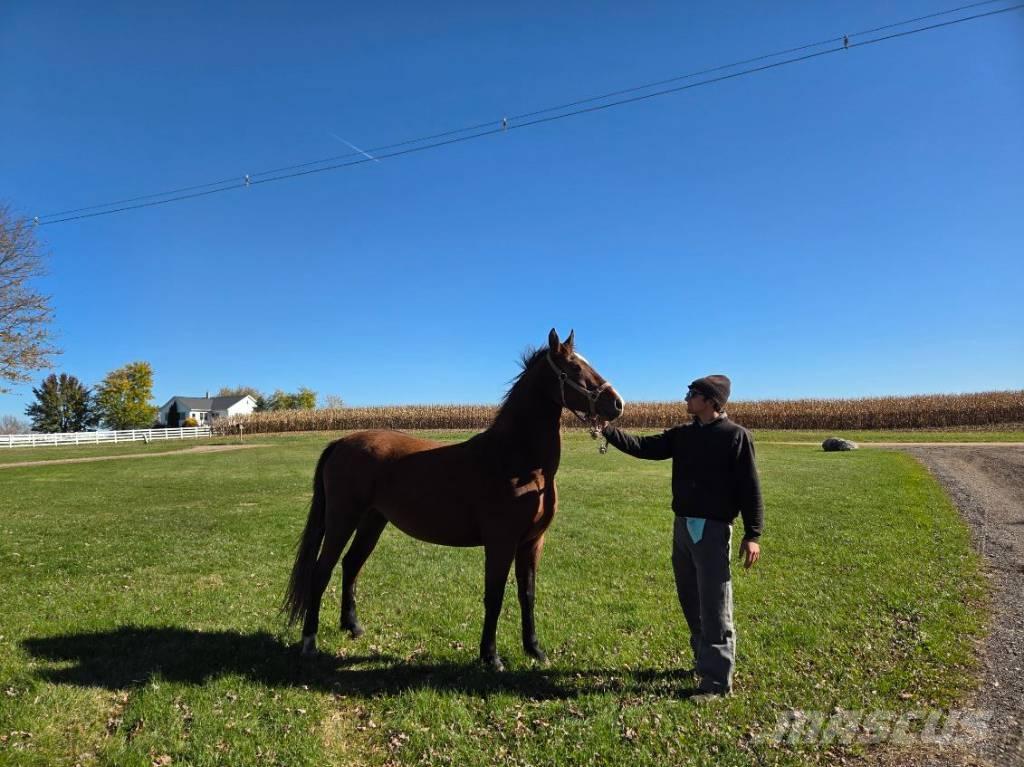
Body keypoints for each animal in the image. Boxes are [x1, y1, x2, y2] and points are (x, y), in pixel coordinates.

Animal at [282, 329, 624, 670]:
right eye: (574, 368)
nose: (617, 404)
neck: (517, 460)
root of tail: (340, 442)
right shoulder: (501, 542)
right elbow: (494, 596)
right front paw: (491, 656)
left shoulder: (532, 542)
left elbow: (527, 595)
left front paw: (535, 650)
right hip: (342, 520)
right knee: (321, 571)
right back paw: (309, 641)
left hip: (372, 521)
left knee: (351, 565)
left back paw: (352, 626)